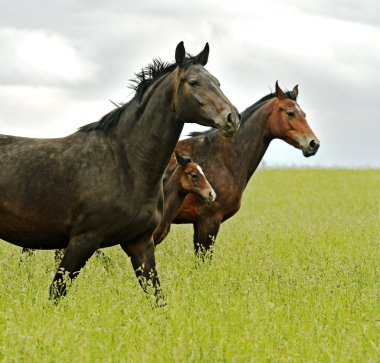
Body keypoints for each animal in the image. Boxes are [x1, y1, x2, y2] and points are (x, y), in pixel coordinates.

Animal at [0, 41, 240, 302]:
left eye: (217, 82)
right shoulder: (83, 241)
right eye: (194, 82)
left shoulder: (140, 243)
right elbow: (56, 293)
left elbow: (158, 297)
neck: (126, 165)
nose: (232, 118)